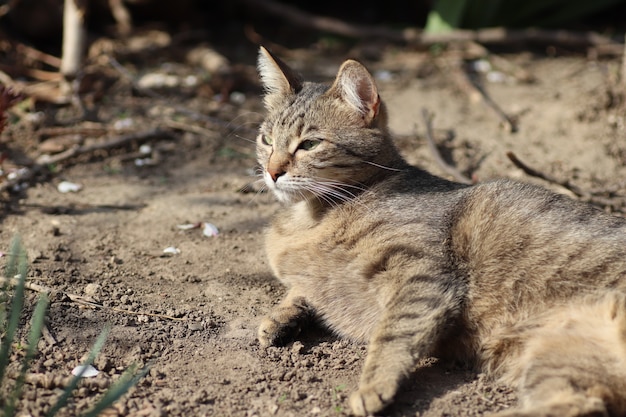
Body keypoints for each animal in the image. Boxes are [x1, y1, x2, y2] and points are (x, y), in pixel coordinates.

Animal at [256, 46, 624, 416]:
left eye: (310, 144)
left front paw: (372, 385)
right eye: (266, 139)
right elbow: (299, 291)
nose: (272, 172)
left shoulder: (423, 275)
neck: (311, 217)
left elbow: (392, 334)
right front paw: (280, 317)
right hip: (557, 359)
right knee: (579, 403)